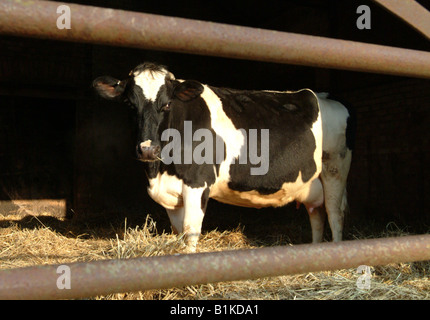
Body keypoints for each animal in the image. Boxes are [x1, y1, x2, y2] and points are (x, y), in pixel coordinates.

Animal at [93, 62, 352, 252]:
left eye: (167, 104)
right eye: (129, 104)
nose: (147, 149)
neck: (160, 170)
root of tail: (323, 96)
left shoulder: (197, 184)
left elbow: (190, 232)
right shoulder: (171, 193)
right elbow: (179, 233)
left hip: (335, 169)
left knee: (334, 214)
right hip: (312, 182)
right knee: (317, 214)